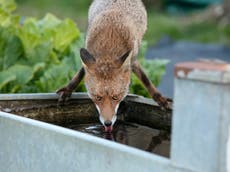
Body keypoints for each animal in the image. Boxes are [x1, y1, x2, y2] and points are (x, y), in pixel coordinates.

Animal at [56, 0, 170, 132]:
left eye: (115, 97)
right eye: (98, 98)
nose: (108, 123)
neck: (109, 43)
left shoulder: (133, 59)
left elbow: (145, 79)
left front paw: (160, 99)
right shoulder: (89, 54)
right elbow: (80, 72)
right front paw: (68, 90)